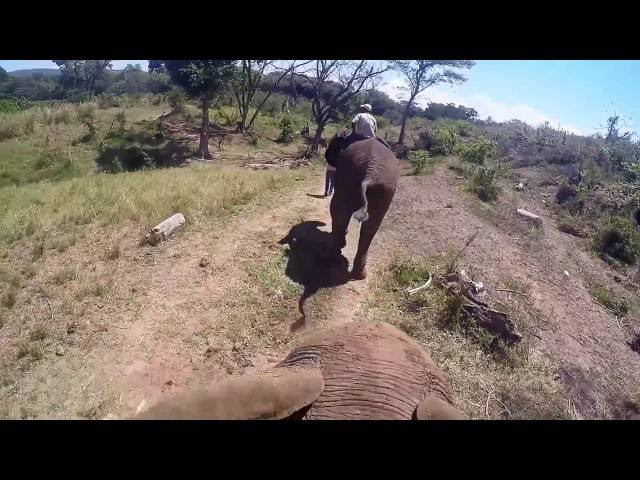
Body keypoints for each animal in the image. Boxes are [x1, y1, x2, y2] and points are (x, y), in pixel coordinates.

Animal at [324, 131, 400, 282]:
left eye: (335, 143)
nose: (325, 156)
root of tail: (370, 174)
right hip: (383, 188)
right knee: (371, 225)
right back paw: (358, 274)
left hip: (357, 180)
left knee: (339, 211)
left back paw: (335, 259)